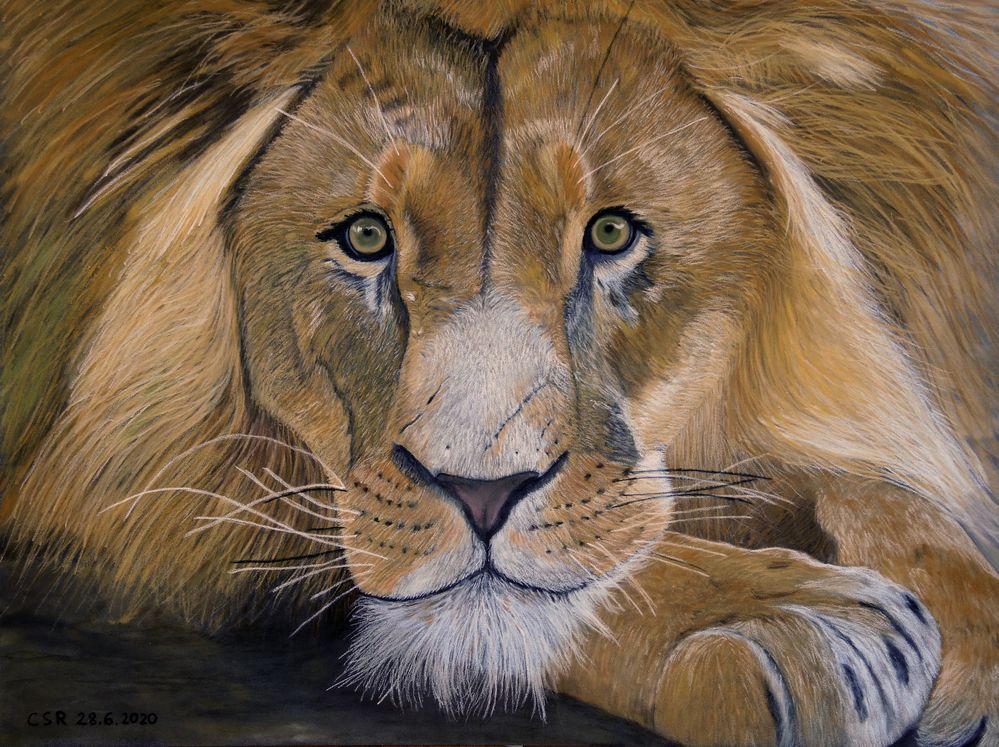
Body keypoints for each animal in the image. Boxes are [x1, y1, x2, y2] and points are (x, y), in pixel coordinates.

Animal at [2, 1, 997, 745]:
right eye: (366, 237)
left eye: (610, 233)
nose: (481, 494)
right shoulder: (122, 513)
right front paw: (783, 618)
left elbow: (868, 490)